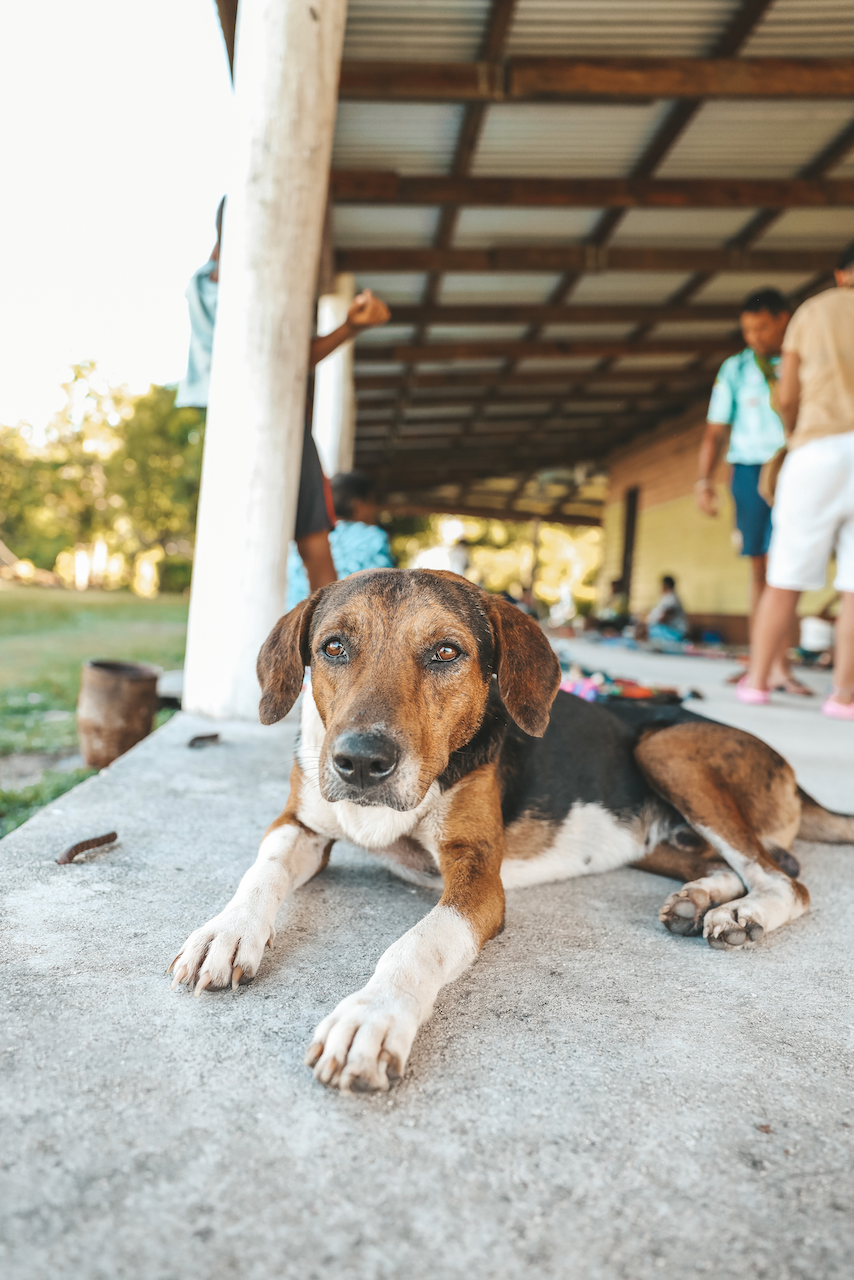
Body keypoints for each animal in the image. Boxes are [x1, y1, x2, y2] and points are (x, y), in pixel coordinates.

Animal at [169, 570, 854, 1090]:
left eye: (447, 652)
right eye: (334, 647)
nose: (361, 762)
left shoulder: (477, 874)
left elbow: (418, 943)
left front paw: (372, 1017)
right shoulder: (299, 825)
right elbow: (261, 871)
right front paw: (225, 932)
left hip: (670, 747)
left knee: (786, 878)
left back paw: (744, 914)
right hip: (657, 837)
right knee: (737, 863)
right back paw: (700, 899)